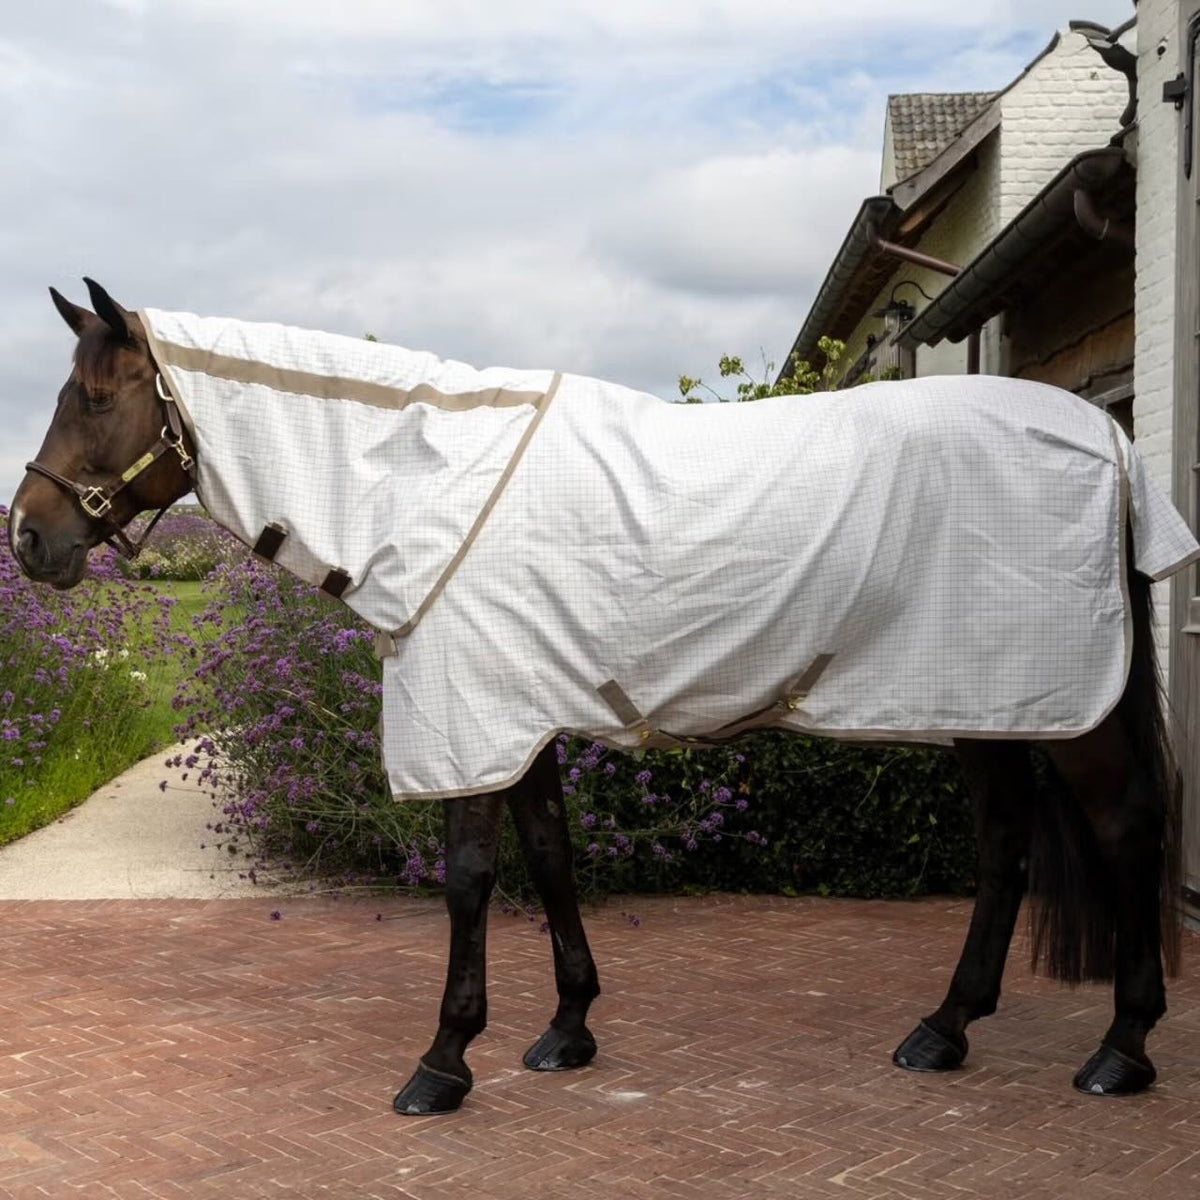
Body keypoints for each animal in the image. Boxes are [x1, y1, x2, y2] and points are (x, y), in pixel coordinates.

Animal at [7, 278, 1187, 1115]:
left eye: (98, 398)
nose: (30, 539)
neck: (422, 481)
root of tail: (1110, 439)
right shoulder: (515, 719)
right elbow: (551, 860)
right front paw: (566, 1030)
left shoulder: (470, 718)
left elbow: (472, 882)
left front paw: (443, 1061)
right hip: (988, 700)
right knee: (1004, 848)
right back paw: (945, 1030)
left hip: (1064, 710)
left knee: (1127, 827)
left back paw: (1121, 1049)